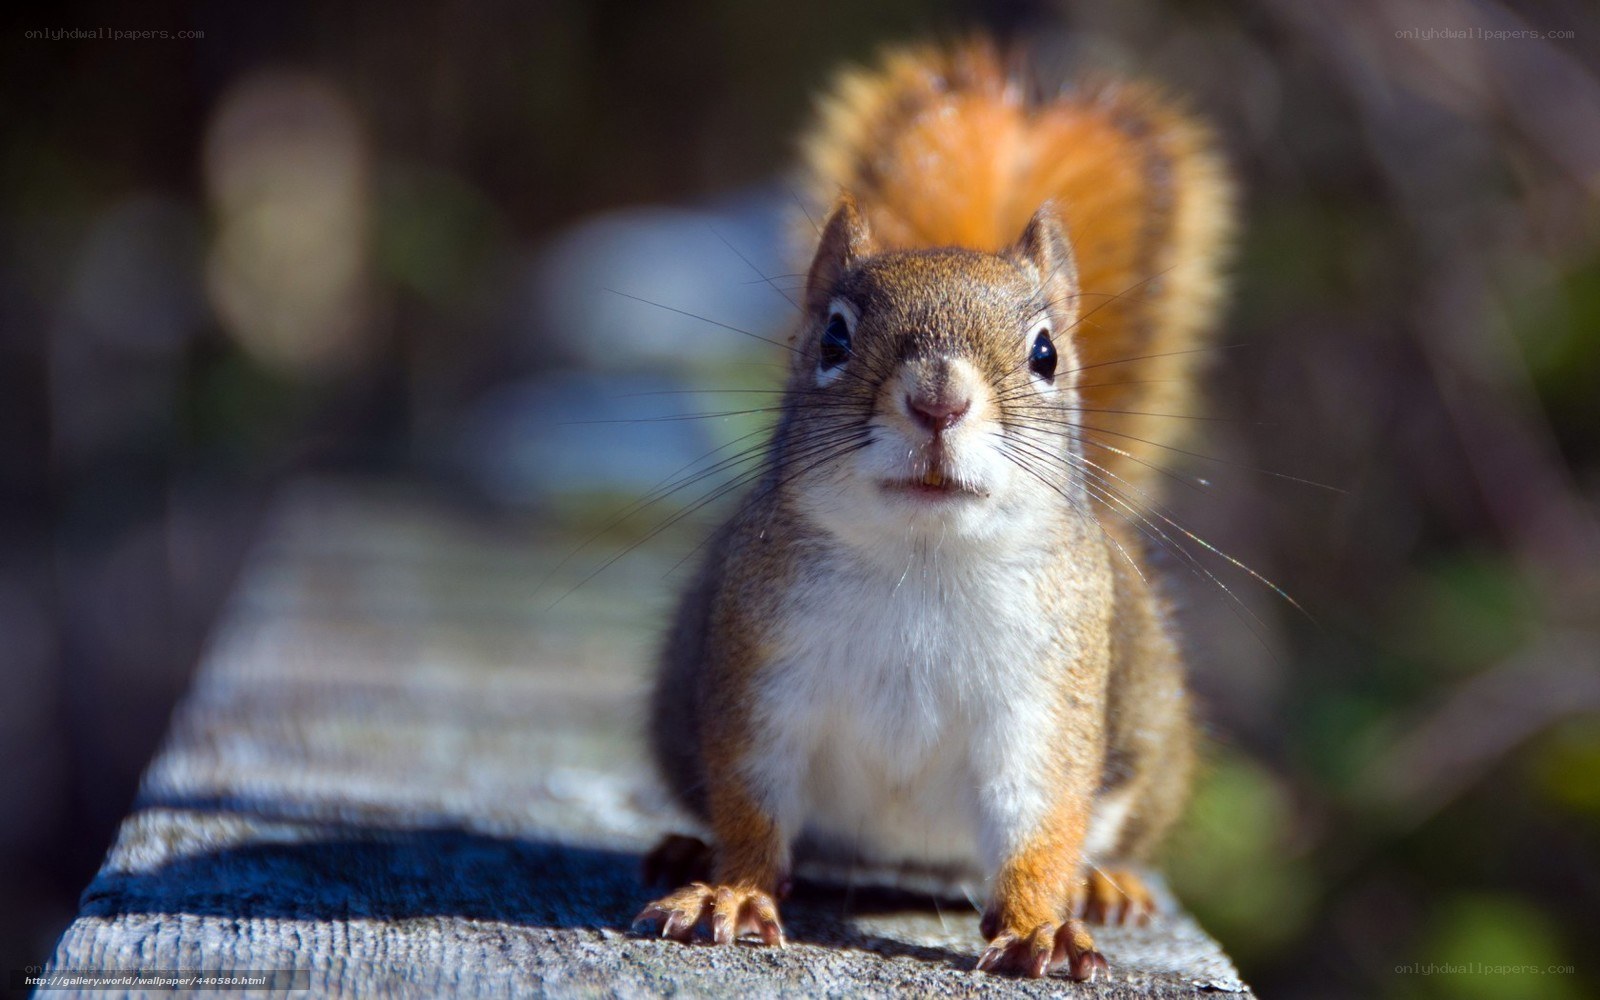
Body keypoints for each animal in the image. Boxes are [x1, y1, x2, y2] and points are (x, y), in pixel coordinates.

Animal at [631, 37, 1234, 981]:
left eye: (1046, 352)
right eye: (833, 336)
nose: (939, 399)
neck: (926, 559)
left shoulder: (1044, 710)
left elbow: (1041, 824)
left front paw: (1039, 926)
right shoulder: (761, 681)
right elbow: (751, 805)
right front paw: (730, 891)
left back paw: (1103, 885)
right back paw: (688, 852)